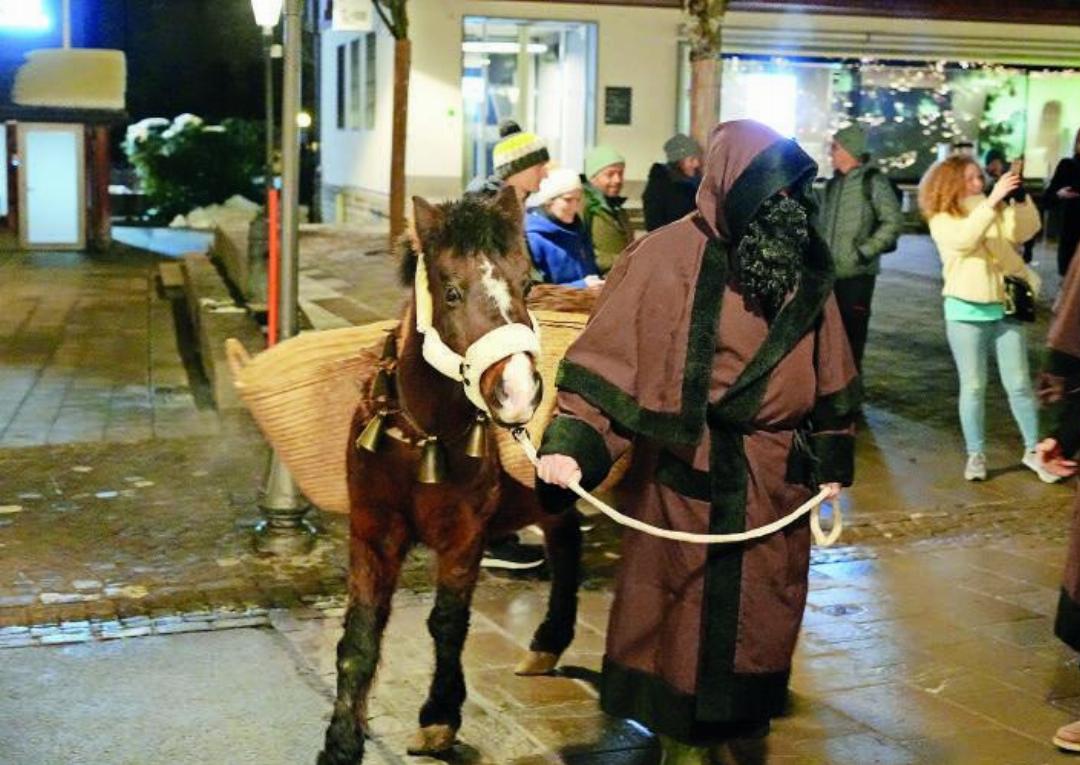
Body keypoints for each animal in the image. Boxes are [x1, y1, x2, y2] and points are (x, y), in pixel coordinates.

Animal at [318, 187, 589, 764]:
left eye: (527, 283)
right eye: (452, 292)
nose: (518, 392)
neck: (424, 436)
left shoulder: (465, 533)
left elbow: (446, 622)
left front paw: (440, 714)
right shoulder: (372, 529)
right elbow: (360, 634)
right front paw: (340, 743)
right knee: (565, 542)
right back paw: (548, 642)